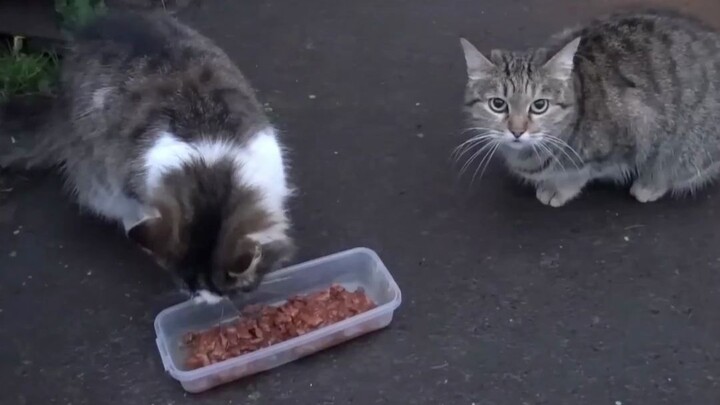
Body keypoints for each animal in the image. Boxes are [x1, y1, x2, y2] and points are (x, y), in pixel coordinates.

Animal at [458, 11, 720, 207]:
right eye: (498, 104)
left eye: (539, 105)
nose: (517, 131)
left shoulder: (634, 132)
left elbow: (581, 172)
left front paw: (559, 188)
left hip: (688, 145)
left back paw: (650, 185)